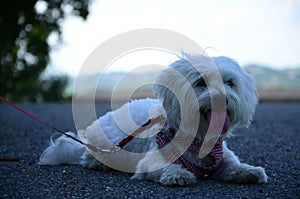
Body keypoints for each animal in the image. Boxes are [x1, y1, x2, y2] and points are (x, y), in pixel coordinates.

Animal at [39, 53, 268, 186]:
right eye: (200, 82)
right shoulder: (150, 160)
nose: (222, 98)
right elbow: (163, 167)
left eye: (229, 82)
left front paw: (250, 171)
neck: (198, 138)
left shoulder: (224, 160)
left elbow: (234, 167)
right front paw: (178, 174)